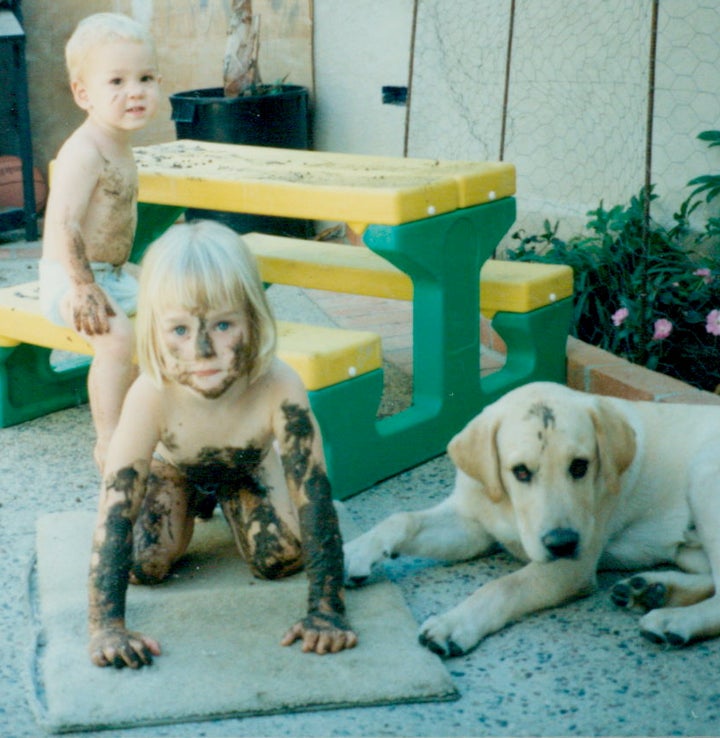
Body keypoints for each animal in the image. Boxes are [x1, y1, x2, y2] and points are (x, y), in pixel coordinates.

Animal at [344, 380, 720, 656]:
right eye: (520, 472)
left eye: (580, 466)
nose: (562, 543)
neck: (509, 509)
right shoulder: (472, 524)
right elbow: (402, 519)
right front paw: (355, 551)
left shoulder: (569, 569)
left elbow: (503, 586)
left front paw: (454, 623)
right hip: (689, 541)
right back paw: (651, 590)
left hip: (704, 476)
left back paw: (673, 619)